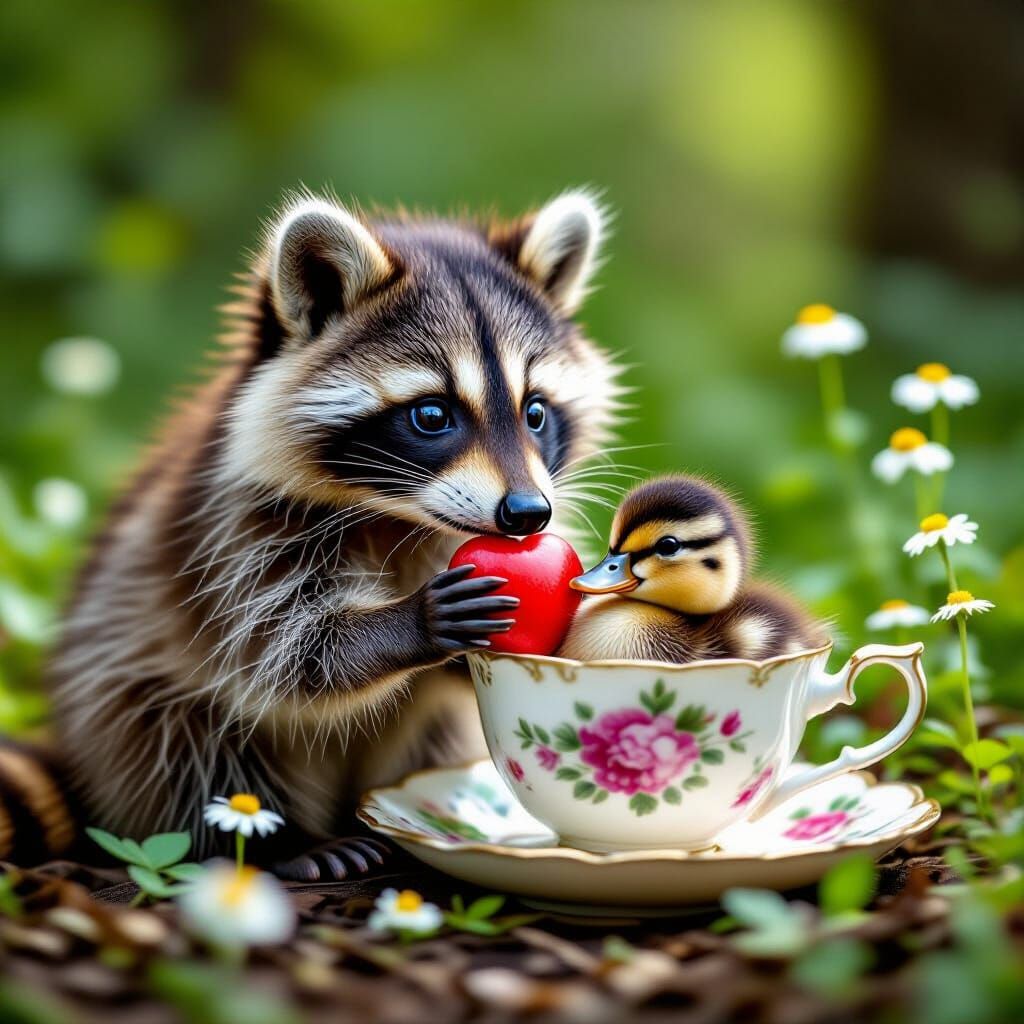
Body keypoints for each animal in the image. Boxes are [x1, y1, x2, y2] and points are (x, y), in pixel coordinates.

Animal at [4, 190, 622, 878]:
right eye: (432, 415)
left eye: (535, 411)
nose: (526, 515)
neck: (402, 513)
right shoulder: (232, 535)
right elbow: (285, 651)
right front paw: (409, 622)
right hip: (122, 695)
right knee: (185, 739)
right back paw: (282, 840)